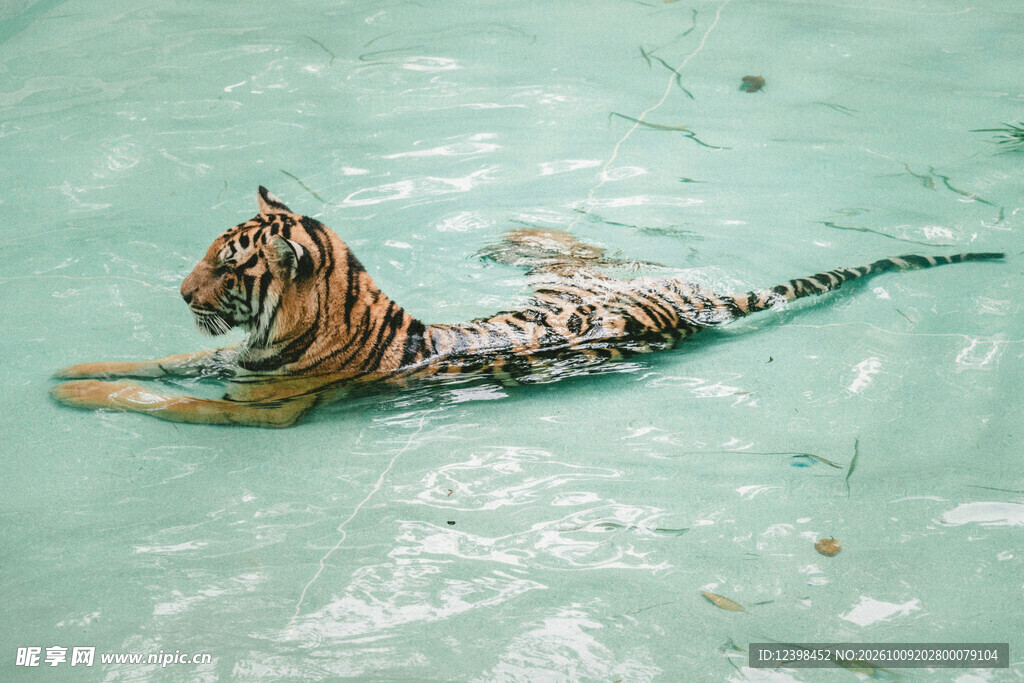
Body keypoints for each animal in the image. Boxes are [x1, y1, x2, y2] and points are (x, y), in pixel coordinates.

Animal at [51, 186, 1004, 428]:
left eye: (226, 265)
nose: (180, 293)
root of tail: (710, 303)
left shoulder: (257, 407)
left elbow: (154, 395)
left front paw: (74, 391)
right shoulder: (229, 361)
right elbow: (153, 362)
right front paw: (71, 365)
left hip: (604, 279)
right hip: (597, 275)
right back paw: (515, 234)